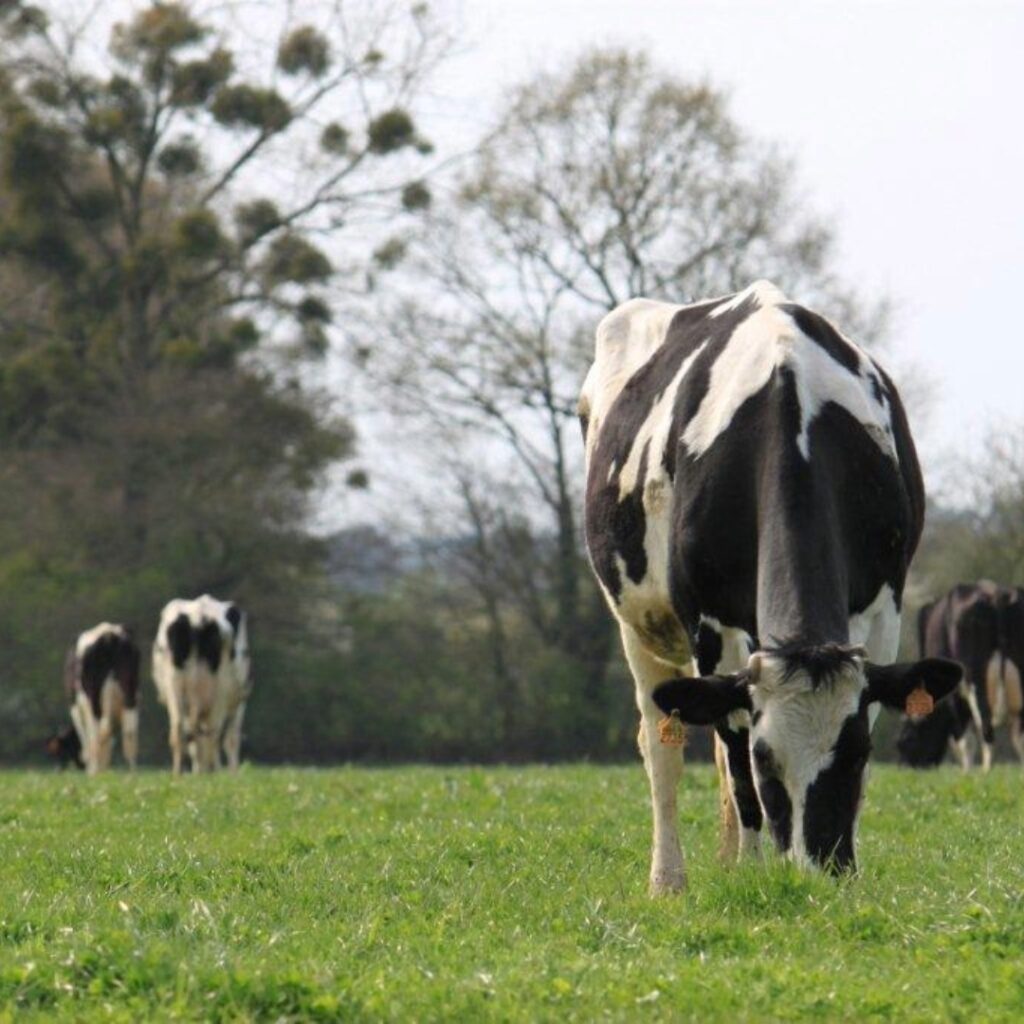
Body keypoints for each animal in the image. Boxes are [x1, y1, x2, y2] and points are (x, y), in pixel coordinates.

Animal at [66, 623, 141, 774]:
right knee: (129, 732)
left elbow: (86, 735)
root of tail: (108, 634)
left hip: (93, 699)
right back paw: (132, 771)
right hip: (130, 694)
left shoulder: (76, 708)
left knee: (96, 734)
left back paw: (95, 770)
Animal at [152, 595, 251, 773]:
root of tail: (199, 616)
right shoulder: (239, 703)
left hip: (174, 686)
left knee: (181, 731)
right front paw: (231, 773)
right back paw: (212, 772)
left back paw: (179, 773)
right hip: (220, 690)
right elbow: (231, 739)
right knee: (212, 732)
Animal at [579, 280, 961, 891]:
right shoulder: (710, 621)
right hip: (638, 624)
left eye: (858, 752)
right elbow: (733, 753)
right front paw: (754, 873)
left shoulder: (884, 610)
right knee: (662, 741)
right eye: (766, 761)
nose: (818, 872)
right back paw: (670, 880)